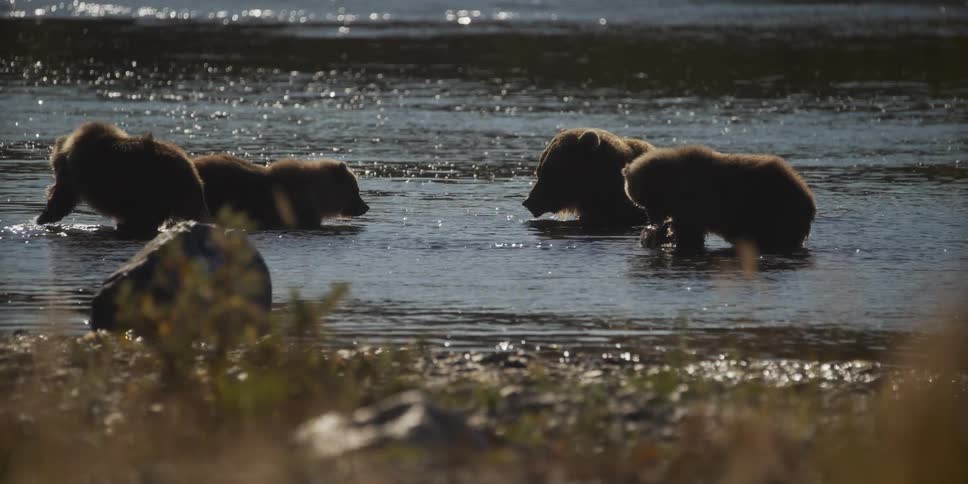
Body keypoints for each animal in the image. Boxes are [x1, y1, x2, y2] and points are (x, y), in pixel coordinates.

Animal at [623, 145, 816, 254]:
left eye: (650, 200)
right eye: (641, 203)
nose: (652, 221)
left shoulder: (694, 202)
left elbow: (689, 233)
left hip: (771, 207)